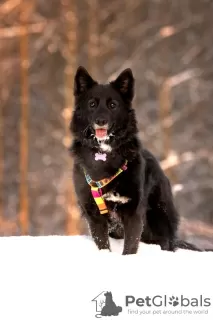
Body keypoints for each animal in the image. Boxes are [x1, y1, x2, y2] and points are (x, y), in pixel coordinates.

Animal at [70, 67, 211, 255]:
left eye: (113, 105)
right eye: (92, 104)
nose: (101, 121)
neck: (103, 155)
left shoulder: (133, 212)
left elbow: (130, 246)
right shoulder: (94, 214)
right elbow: (103, 244)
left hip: (159, 218)